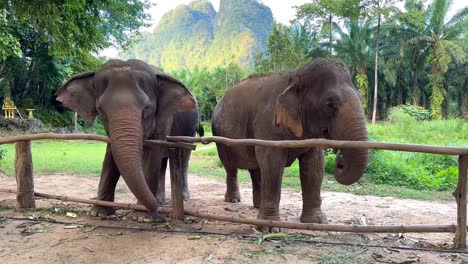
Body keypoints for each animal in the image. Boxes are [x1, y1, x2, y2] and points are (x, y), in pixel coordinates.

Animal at [55, 59, 201, 219]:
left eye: (147, 107)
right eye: (100, 108)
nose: (156, 211)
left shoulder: (165, 118)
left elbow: (153, 153)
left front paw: (141, 216)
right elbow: (111, 155)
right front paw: (98, 213)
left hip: (190, 130)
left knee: (183, 157)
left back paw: (183, 197)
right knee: (163, 161)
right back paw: (159, 200)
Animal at [212, 57, 370, 231]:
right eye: (329, 104)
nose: (340, 160)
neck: (295, 75)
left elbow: (314, 167)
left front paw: (317, 222)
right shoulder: (268, 124)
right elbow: (272, 165)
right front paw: (270, 228)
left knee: (256, 170)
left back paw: (257, 206)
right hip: (221, 138)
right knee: (231, 167)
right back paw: (233, 200)